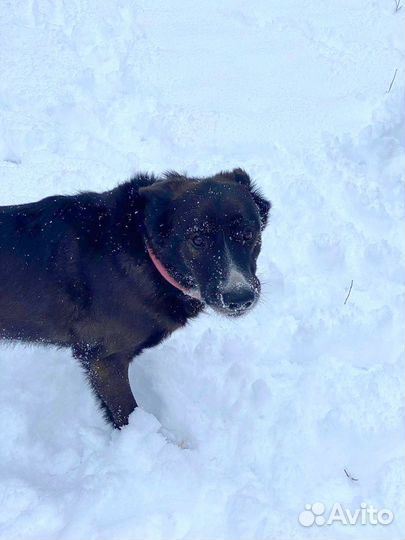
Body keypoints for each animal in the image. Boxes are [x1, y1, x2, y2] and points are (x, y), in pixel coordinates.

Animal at [0, 169, 272, 426]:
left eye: (247, 234)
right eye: (198, 240)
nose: (240, 297)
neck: (146, 248)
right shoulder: (104, 360)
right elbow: (126, 414)